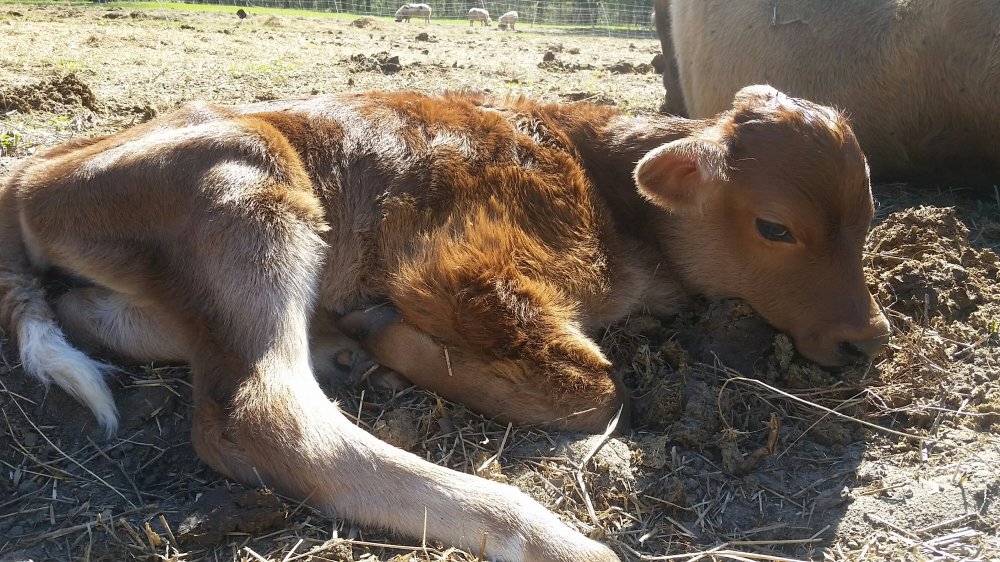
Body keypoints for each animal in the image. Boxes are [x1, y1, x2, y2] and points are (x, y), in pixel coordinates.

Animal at [0, 86, 889, 561]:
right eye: (775, 227)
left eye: (868, 215)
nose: (868, 340)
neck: (609, 185)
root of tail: (27, 175)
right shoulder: (457, 267)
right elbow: (594, 389)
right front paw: (387, 332)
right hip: (252, 188)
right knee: (262, 414)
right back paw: (542, 534)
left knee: (99, 316)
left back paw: (336, 348)